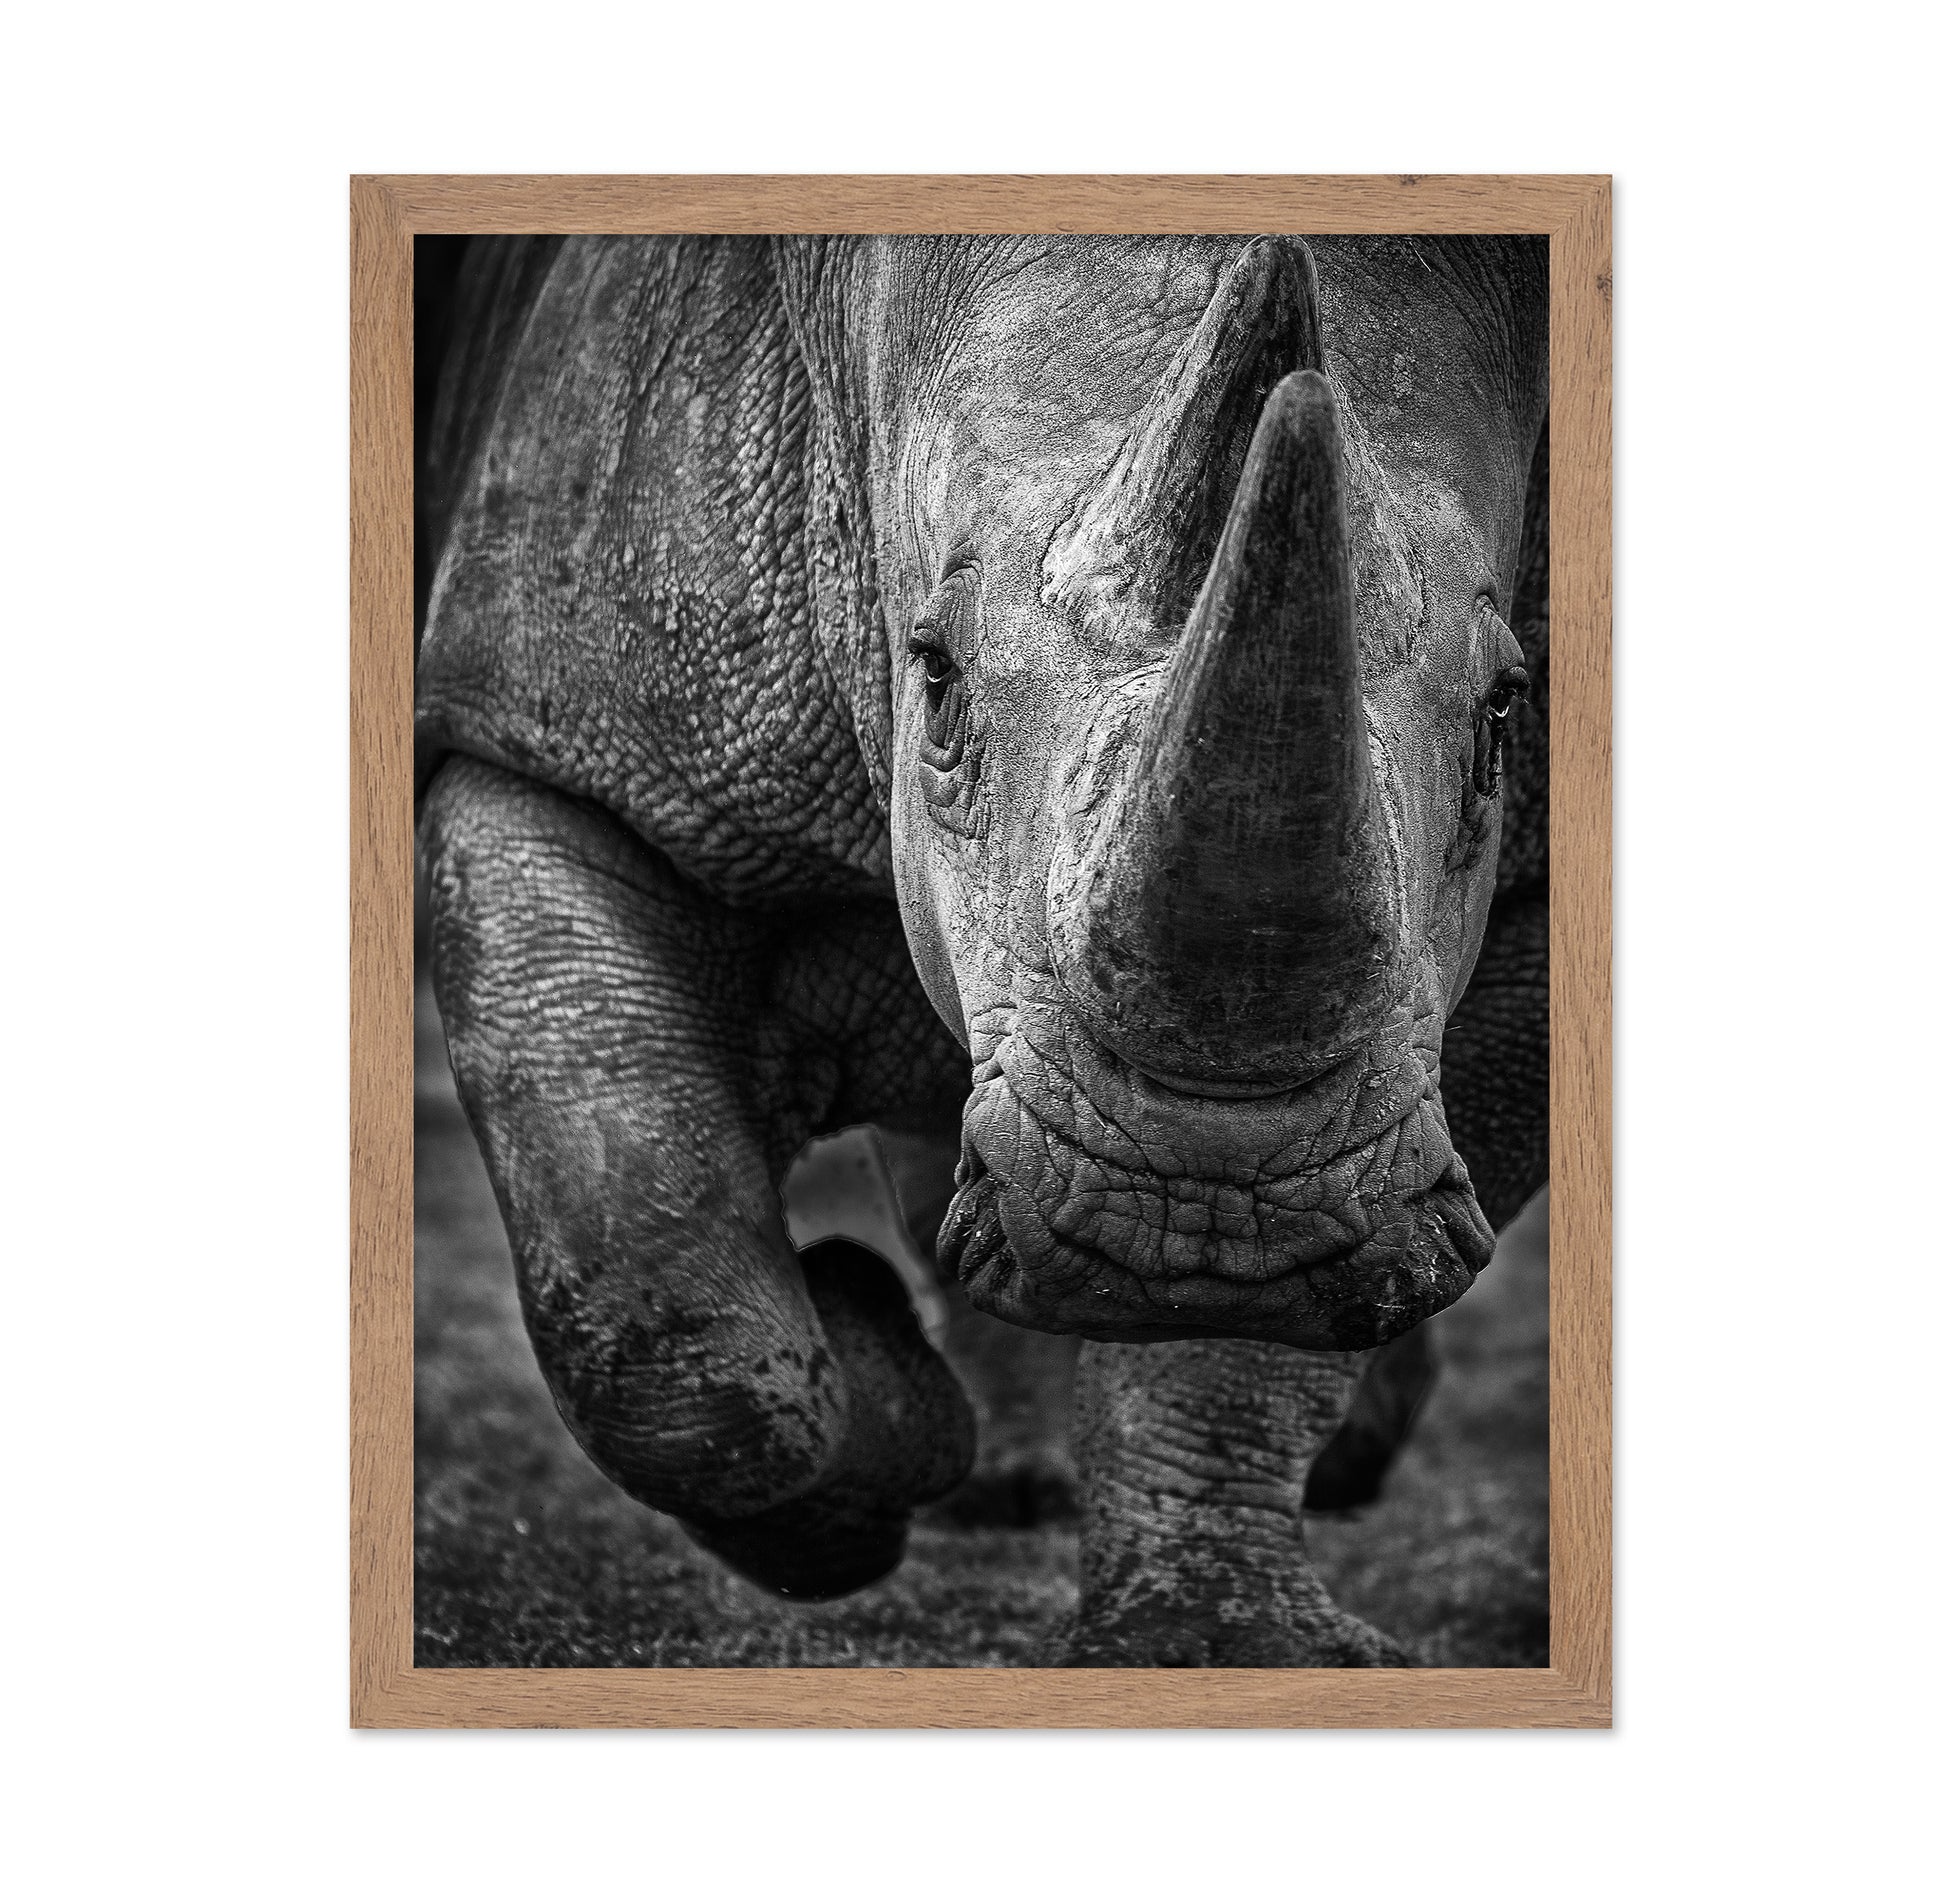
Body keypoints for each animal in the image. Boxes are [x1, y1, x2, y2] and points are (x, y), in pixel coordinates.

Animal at [415, 232, 1550, 1666]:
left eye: (1504, 716)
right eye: (935, 679)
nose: (1199, 1209)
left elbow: (1244, 1344)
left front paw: (1213, 1644)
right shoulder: (552, 738)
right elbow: (660, 1303)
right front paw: (878, 1404)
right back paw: (984, 1469)